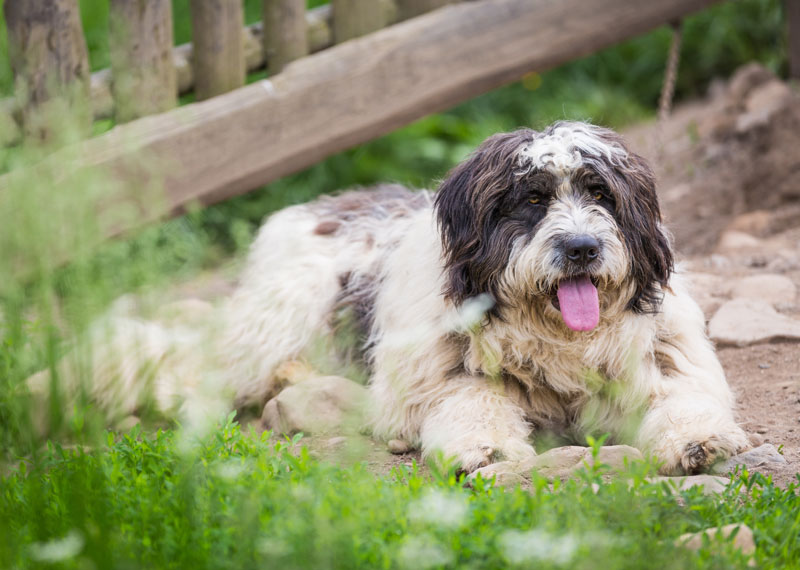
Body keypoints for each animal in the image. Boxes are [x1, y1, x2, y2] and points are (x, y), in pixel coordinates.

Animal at [32, 121, 752, 474]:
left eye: (600, 193)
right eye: (531, 198)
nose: (581, 248)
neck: (553, 339)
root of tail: (328, 203)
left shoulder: (662, 361)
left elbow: (682, 400)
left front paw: (699, 441)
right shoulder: (434, 381)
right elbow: (471, 402)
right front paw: (486, 448)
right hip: (281, 316)